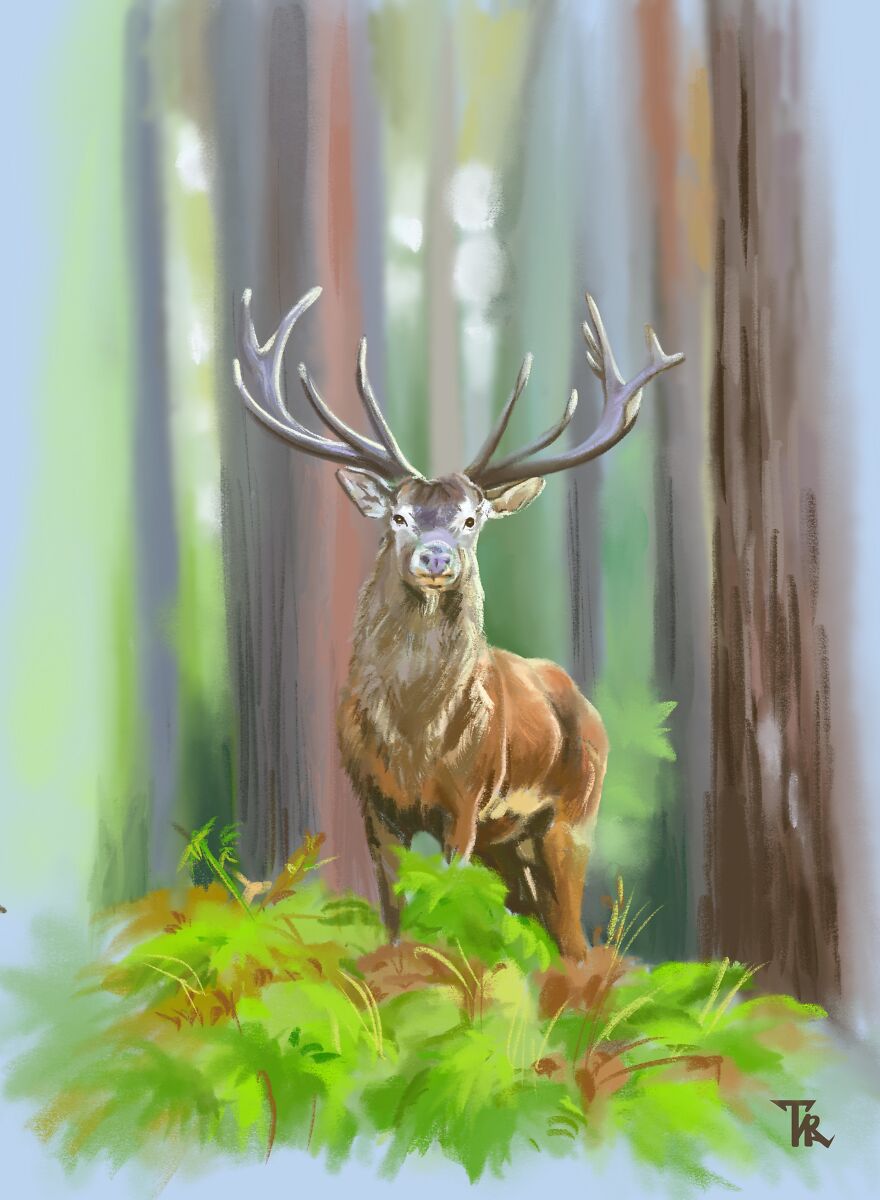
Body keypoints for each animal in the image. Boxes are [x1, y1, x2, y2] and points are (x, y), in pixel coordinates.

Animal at [233, 286, 683, 959]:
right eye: (398, 515)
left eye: (472, 519)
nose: (437, 557)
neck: (413, 739)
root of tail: (585, 707)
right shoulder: (370, 800)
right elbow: (395, 909)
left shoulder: (468, 798)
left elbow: (445, 902)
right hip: (512, 849)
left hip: (572, 818)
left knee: (574, 938)